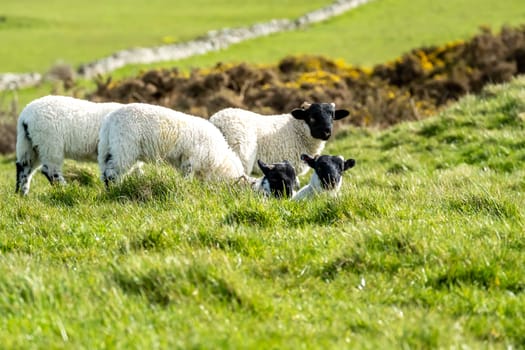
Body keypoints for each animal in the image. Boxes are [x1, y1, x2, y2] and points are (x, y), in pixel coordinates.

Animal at [98, 103, 246, 187]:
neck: (220, 159)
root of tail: (109, 120)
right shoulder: (191, 160)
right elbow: (188, 176)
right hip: (124, 147)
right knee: (111, 172)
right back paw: (114, 188)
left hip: (110, 147)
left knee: (105, 168)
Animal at [208, 102, 348, 176]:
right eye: (312, 117)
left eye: (332, 116)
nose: (327, 132)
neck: (297, 129)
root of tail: (217, 121)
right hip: (240, 154)